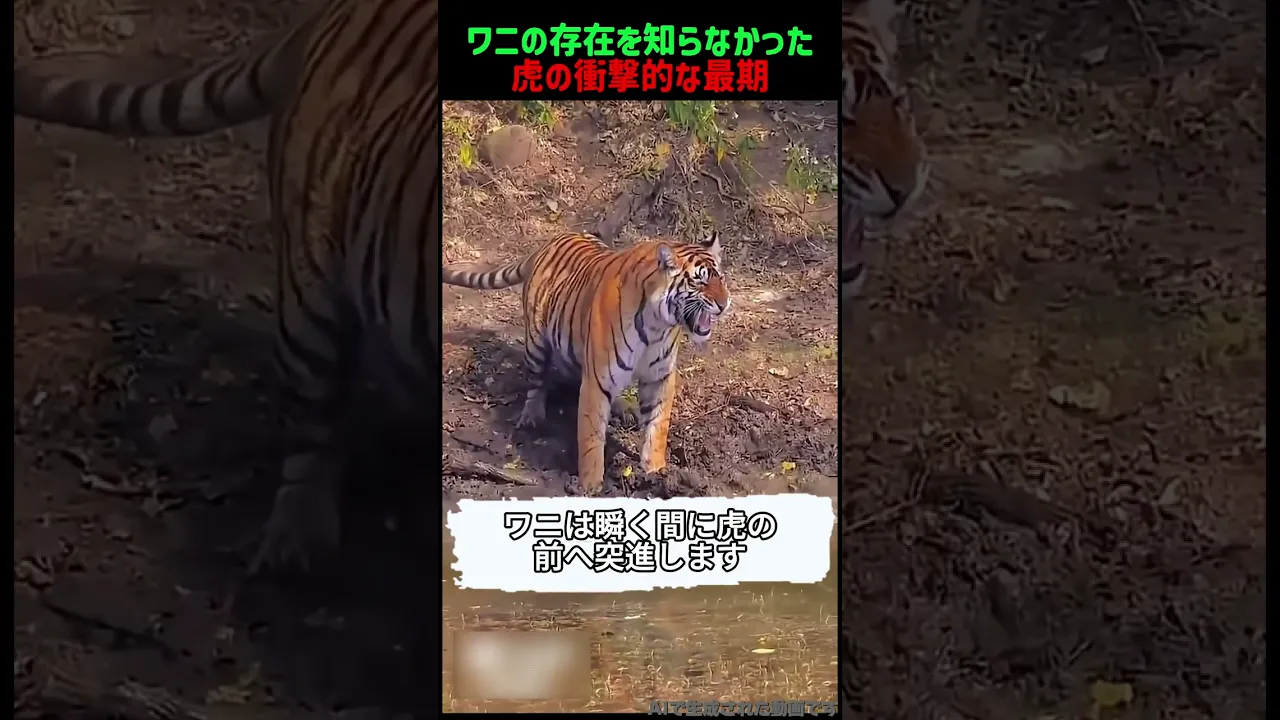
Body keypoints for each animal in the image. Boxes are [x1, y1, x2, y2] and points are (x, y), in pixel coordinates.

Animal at [442, 231, 730, 494]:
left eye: (721, 279)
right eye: (699, 281)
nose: (724, 304)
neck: (658, 325)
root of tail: (549, 242)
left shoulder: (659, 377)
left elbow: (657, 427)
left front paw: (657, 472)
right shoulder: (597, 380)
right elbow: (592, 436)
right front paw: (591, 486)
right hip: (536, 343)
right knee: (537, 382)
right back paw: (532, 416)